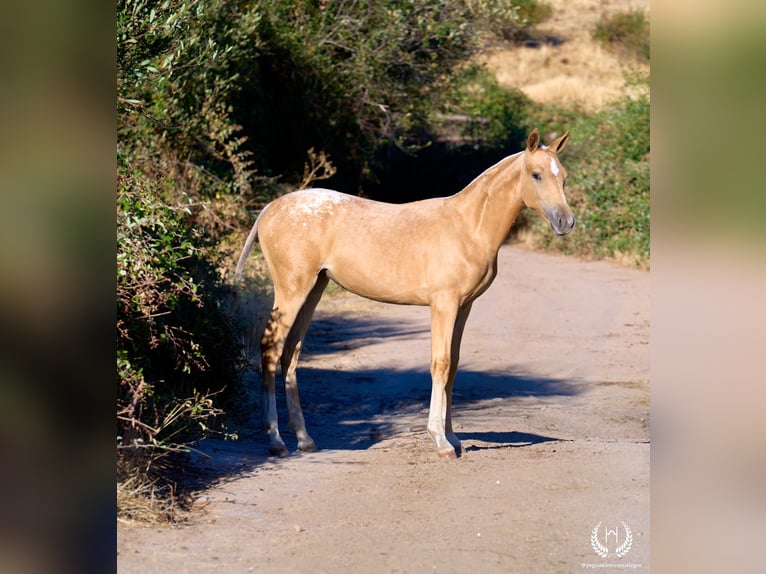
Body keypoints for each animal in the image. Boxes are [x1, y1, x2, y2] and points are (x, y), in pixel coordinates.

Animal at [235, 128, 575, 458]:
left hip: (314, 288)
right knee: (271, 348)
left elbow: (453, 366)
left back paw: (305, 439)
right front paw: (441, 441)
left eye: (564, 176)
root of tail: (270, 209)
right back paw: (276, 440)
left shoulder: (463, 307)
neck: (467, 226)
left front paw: (454, 437)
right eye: (536, 175)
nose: (565, 222)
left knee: (291, 352)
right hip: (291, 290)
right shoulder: (444, 304)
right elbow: (441, 363)